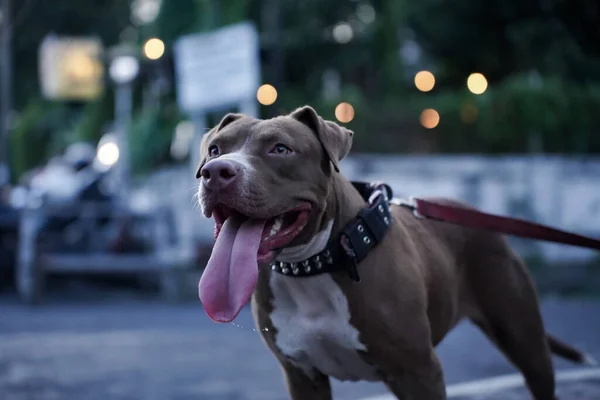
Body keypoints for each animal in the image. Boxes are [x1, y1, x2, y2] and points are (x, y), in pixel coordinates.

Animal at [196, 106, 592, 400]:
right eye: (215, 149)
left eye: (280, 148)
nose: (215, 172)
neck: (316, 264)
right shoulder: (302, 376)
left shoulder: (419, 371)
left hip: (525, 341)